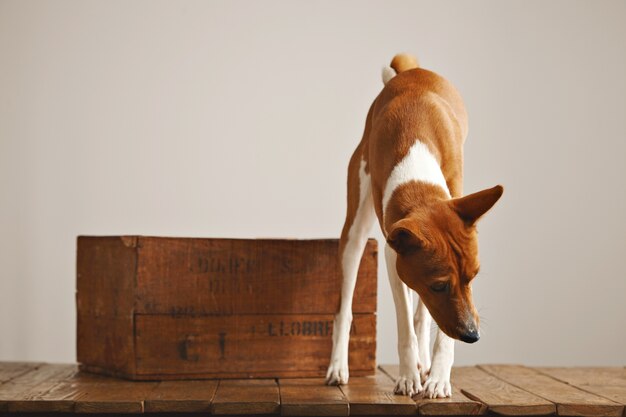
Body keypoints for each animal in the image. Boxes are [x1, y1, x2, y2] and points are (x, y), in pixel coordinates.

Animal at [324, 53, 500, 398]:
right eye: (439, 285)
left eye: (473, 277)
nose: (473, 336)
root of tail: (409, 71)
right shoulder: (393, 256)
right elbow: (405, 325)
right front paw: (408, 376)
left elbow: (433, 328)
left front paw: (439, 376)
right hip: (354, 234)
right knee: (345, 307)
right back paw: (339, 367)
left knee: (423, 317)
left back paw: (425, 362)